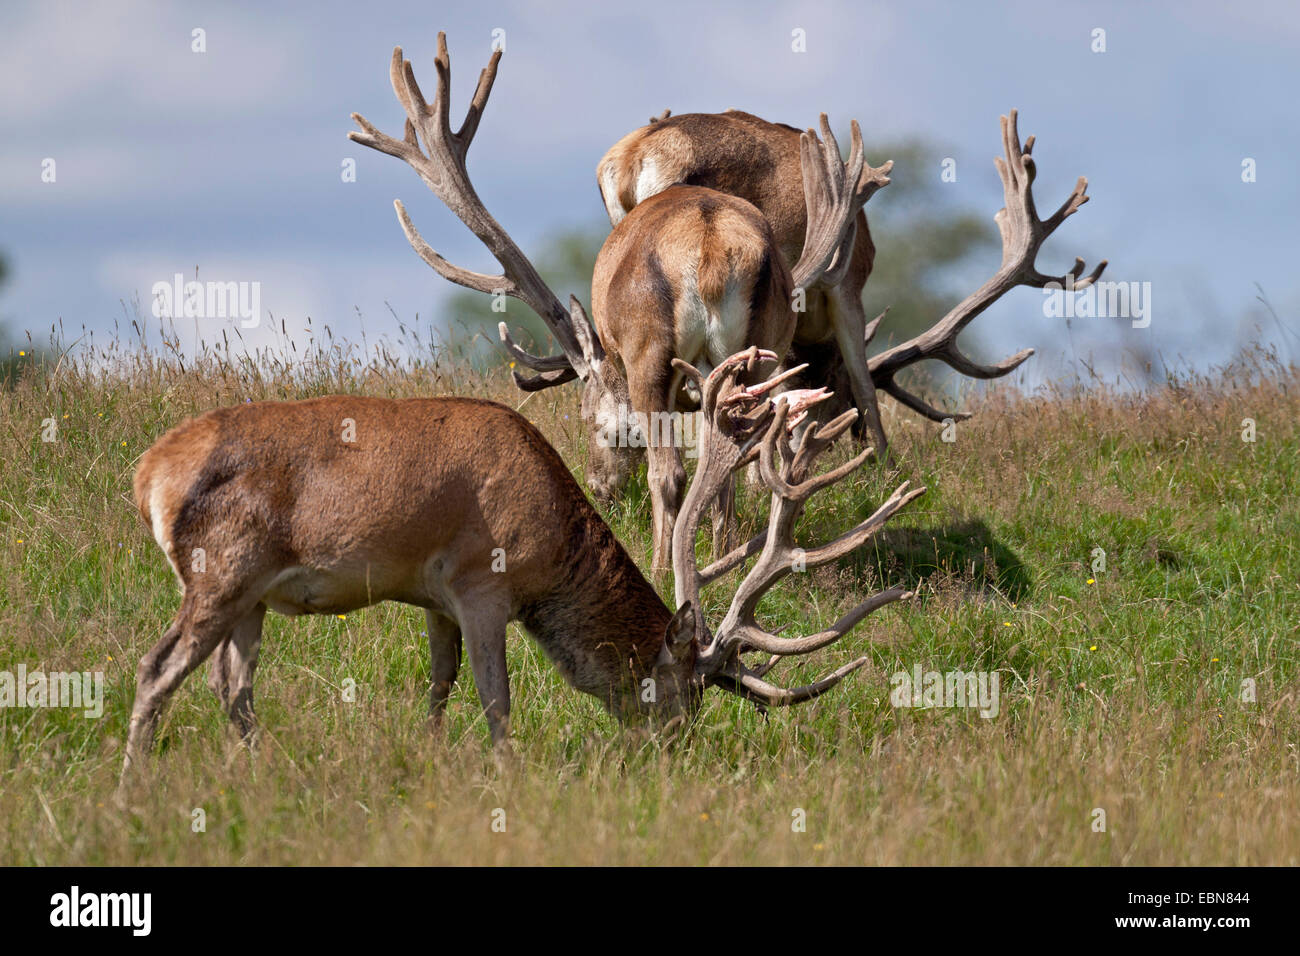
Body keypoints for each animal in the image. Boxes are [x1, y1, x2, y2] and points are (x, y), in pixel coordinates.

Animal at [119, 348, 925, 780]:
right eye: (680, 693)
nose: (675, 754)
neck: (553, 551)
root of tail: (149, 473)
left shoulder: (433, 599)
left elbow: (440, 685)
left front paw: (430, 757)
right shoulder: (482, 582)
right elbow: (495, 698)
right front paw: (508, 777)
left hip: (250, 597)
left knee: (232, 686)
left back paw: (260, 769)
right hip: (219, 570)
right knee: (157, 667)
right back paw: (132, 783)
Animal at [345, 35, 894, 574]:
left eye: (587, 415)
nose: (598, 488)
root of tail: (713, 246)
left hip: (651, 351)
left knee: (670, 471)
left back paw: (661, 568)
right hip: (759, 351)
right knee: (733, 452)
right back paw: (724, 556)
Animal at [598, 106, 1107, 450]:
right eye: (834, 394)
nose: (847, 438)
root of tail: (629, 160)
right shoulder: (847, 284)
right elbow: (861, 379)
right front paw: (885, 463)